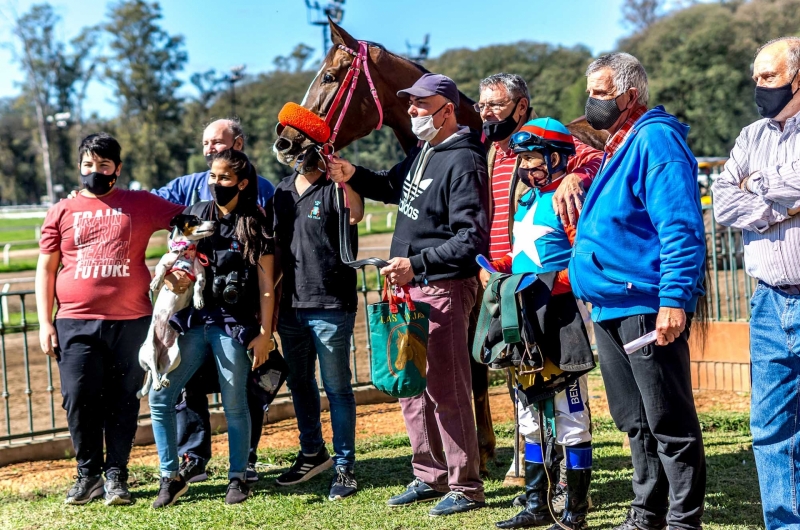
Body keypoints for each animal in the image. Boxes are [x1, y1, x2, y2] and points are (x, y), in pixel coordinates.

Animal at [137, 211, 216, 396]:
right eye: (195, 220)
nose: (215, 223)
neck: (186, 252)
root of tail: (160, 356)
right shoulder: (165, 262)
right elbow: (161, 271)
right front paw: (156, 283)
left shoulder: (200, 274)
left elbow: (198, 287)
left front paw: (198, 300)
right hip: (149, 351)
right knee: (153, 371)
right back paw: (157, 383)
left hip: (176, 356)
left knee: (164, 371)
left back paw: (165, 380)